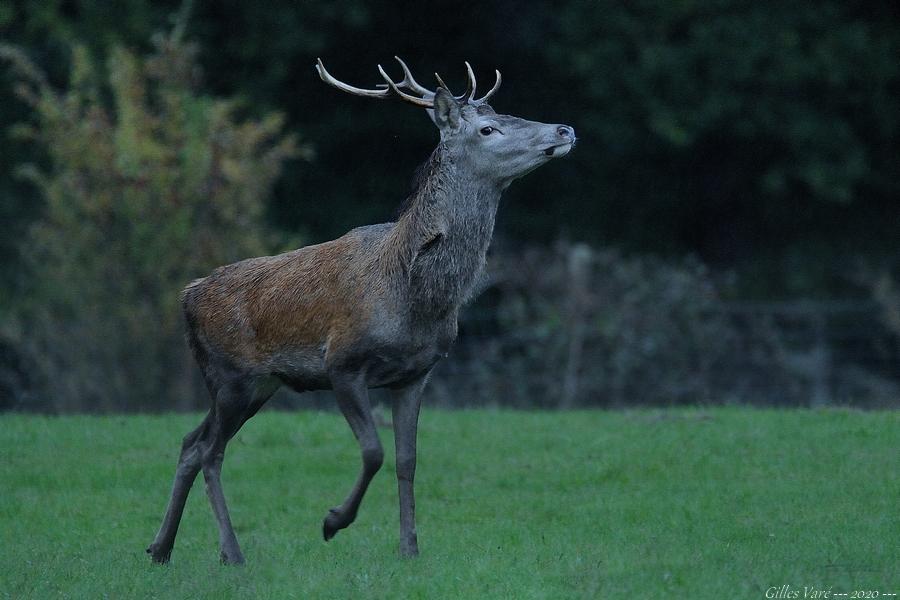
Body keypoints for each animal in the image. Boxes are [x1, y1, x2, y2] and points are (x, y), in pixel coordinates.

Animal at [144, 54, 572, 564]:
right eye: (488, 128)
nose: (565, 129)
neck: (416, 297)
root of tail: (187, 296)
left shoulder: (416, 373)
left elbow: (408, 460)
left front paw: (409, 548)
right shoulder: (342, 363)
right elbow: (373, 451)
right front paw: (333, 521)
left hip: (259, 385)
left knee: (191, 442)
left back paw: (160, 547)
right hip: (230, 374)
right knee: (211, 451)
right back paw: (231, 552)